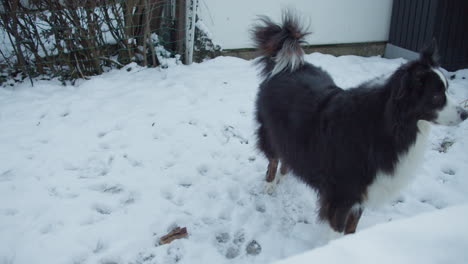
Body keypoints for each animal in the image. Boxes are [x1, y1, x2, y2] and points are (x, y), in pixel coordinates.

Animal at [254, 11, 466, 235]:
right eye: (436, 97)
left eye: (447, 89)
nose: (465, 113)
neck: (389, 125)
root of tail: (288, 65)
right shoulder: (342, 193)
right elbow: (337, 229)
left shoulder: (364, 190)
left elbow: (352, 227)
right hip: (270, 129)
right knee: (274, 157)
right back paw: (270, 183)